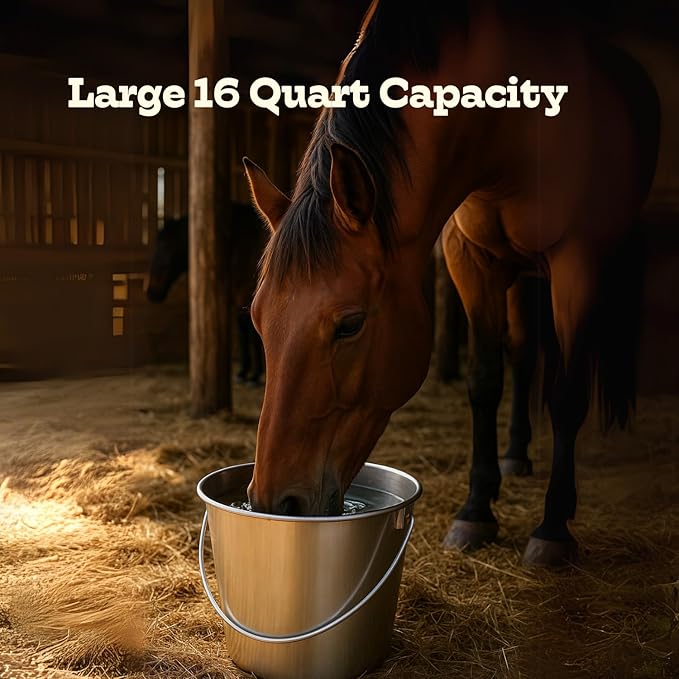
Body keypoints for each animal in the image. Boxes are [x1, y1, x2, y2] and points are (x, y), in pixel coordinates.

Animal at [146, 203, 267, 385]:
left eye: (166, 247)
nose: (151, 292)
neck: (236, 245)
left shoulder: (245, 297)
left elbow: (251, 335)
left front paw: (254, 375)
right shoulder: (240, 303)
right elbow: (243, 333)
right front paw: (244, 372)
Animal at [243, 0, 660, 567]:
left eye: (350, 325)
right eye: (258, 321)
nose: (274, 503)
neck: (510, 127)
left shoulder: (577, 259)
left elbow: (567, 393)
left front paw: (552, 527)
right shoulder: (471, 259)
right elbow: (484, 381)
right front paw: (476, 511)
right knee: (523, 355)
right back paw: (515, 456)